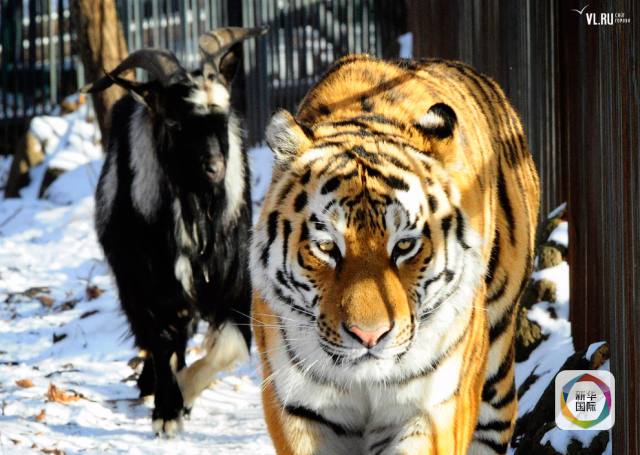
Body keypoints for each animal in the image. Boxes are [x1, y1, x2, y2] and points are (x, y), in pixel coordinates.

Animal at [85, 26, 264, 436]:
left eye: (223, 118)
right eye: (175, 123)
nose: (215, 168)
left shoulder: (233, 282)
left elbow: (229, 346)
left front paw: (184, 395)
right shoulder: (146, 283)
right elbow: (161, 340)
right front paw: (167, 410)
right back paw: (150, 385)